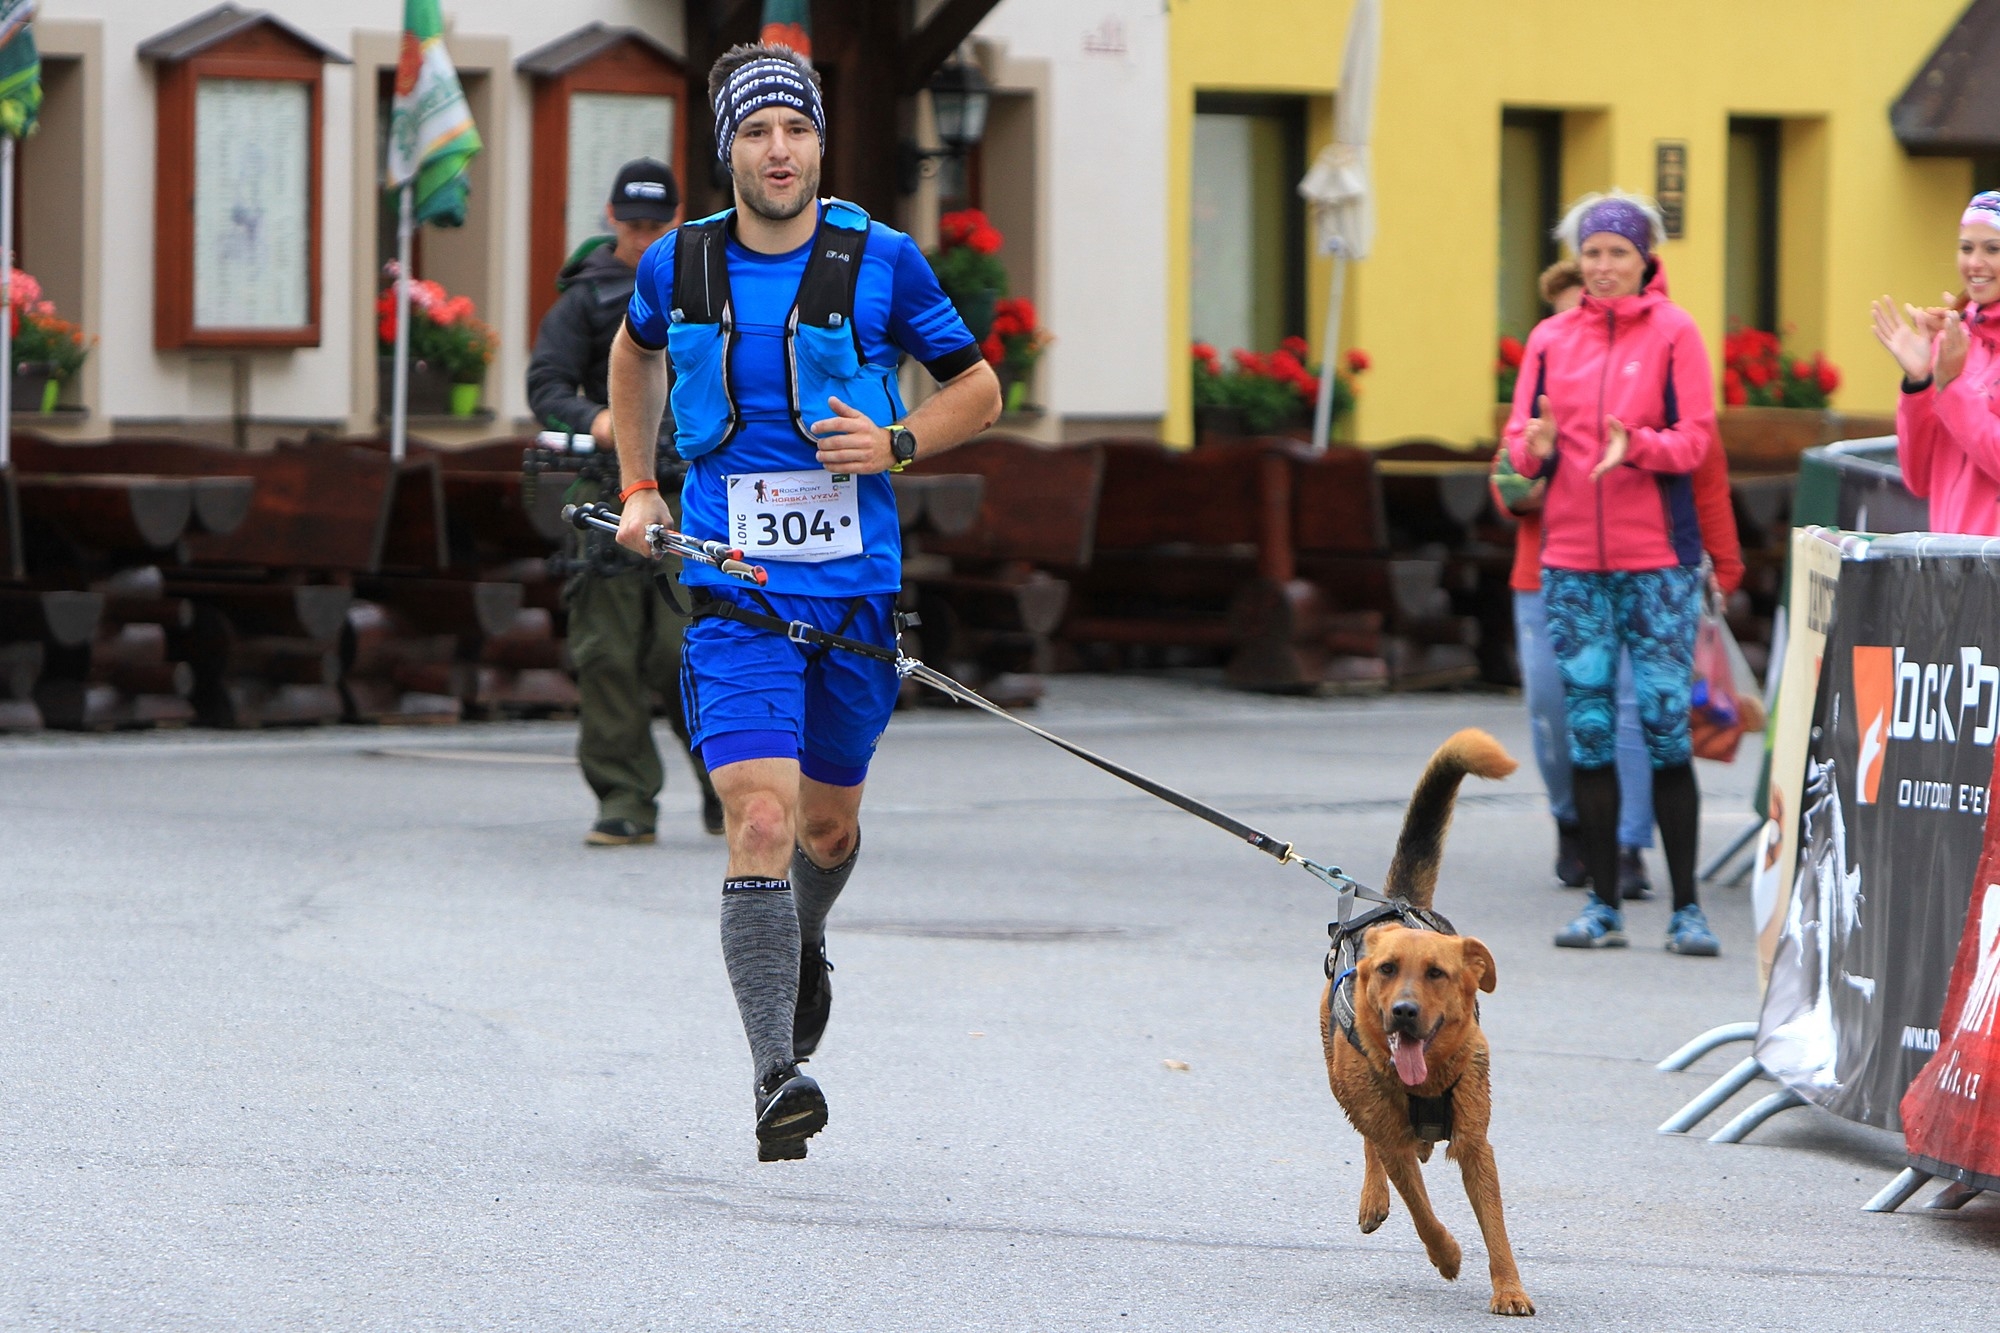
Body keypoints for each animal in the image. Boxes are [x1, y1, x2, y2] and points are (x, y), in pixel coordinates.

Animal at [1320, 732, 1536, 1312]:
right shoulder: (1393, 1140)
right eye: (1388, 970)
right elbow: (1419, 1208)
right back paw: (1375, 1196)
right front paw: (1448, 1256)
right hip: (1341, 1081)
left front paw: (1509, 1289)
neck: (1426, 1081)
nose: (1404, 1011)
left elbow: (1497, 1227)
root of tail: (1397, 904)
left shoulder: (1476, 1145)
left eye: (1437, 973)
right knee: (1370, 1139)